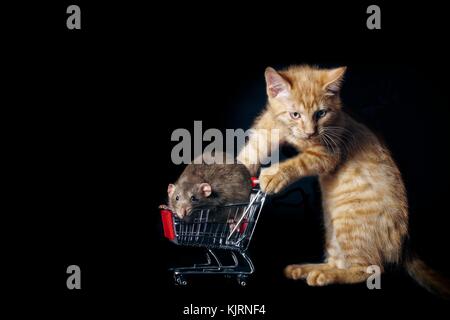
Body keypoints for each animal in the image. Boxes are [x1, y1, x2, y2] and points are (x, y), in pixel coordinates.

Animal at [237, 65, 448, 298]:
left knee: (369, 269)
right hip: (331, 229)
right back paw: (306, 269)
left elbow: (298, 162)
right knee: (338, 261)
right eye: (295, 114)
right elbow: (251, 152)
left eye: (321, 113)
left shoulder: (327, 153)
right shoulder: (267, 127)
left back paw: (325, 276)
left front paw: (275, 176)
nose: (311, 132)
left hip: (347, 223)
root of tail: (404, 244)